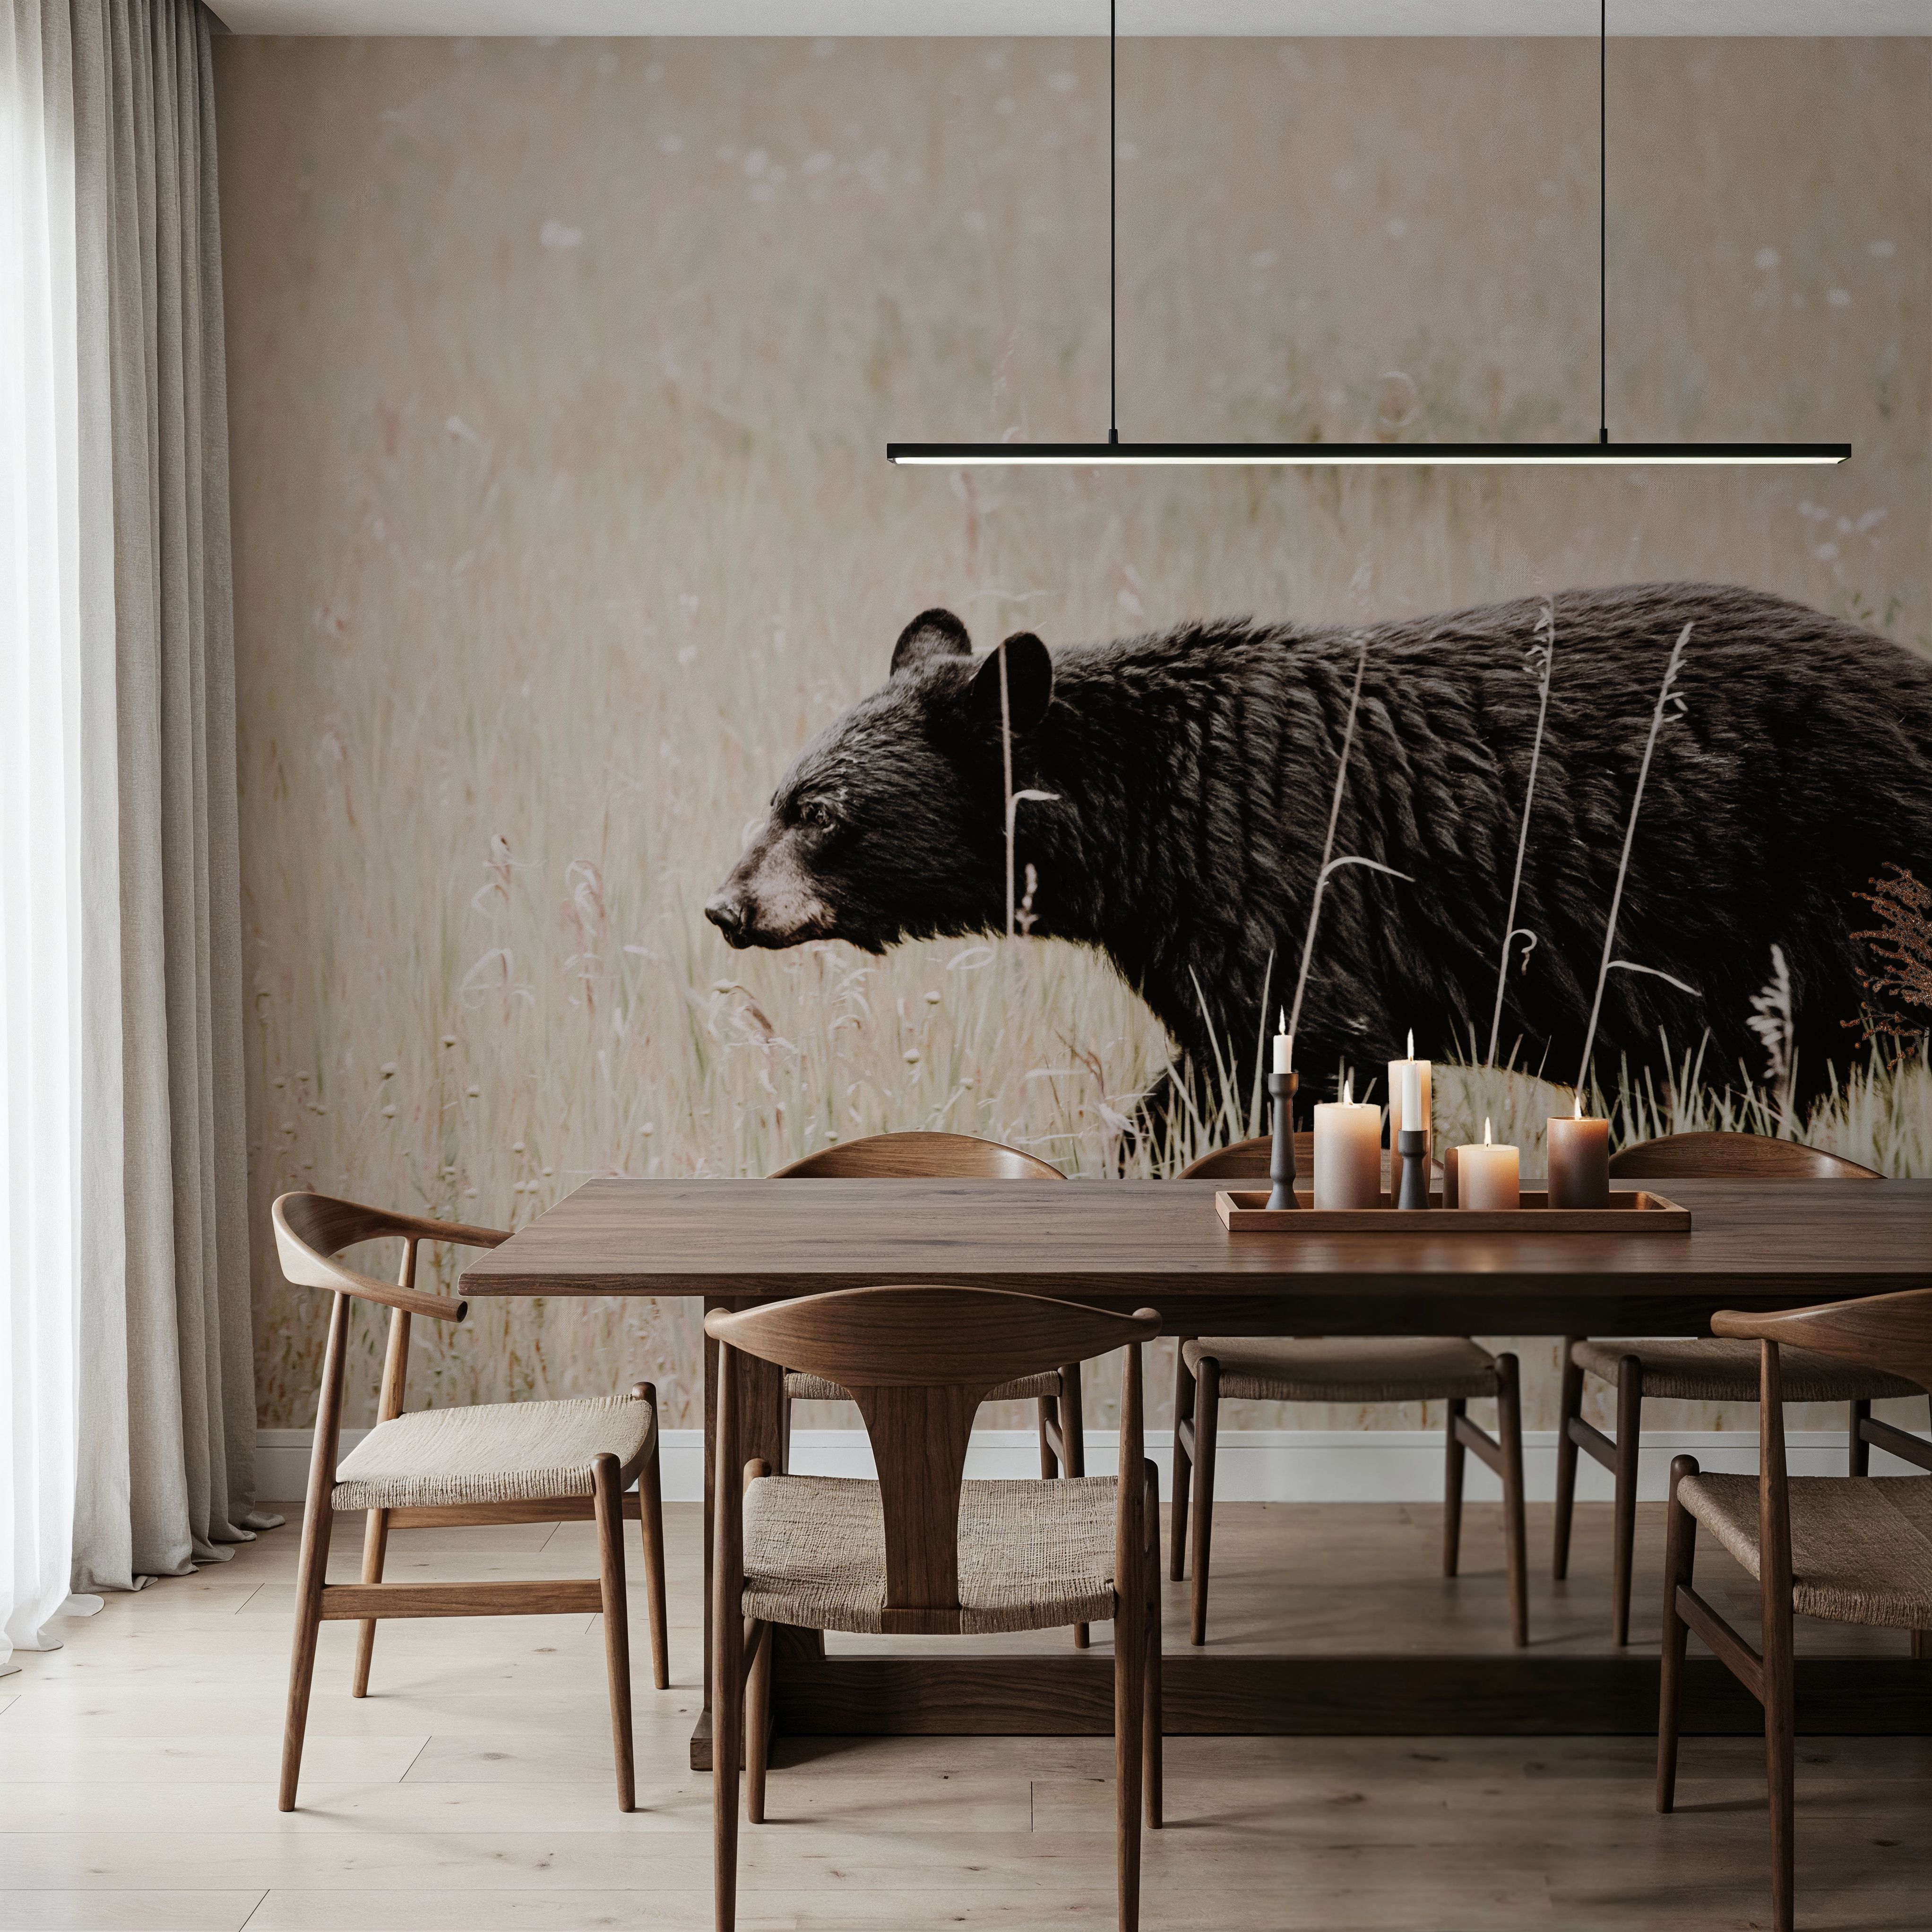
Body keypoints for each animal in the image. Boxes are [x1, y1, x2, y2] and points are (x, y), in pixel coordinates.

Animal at [706, 583, 1932, 1120]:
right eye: (778, 793)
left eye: (822, 810)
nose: (725, 905)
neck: (1153, 805)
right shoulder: (1196, 935)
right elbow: (1214, 1070)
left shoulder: (1285, 888)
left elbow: (1312, 1053)